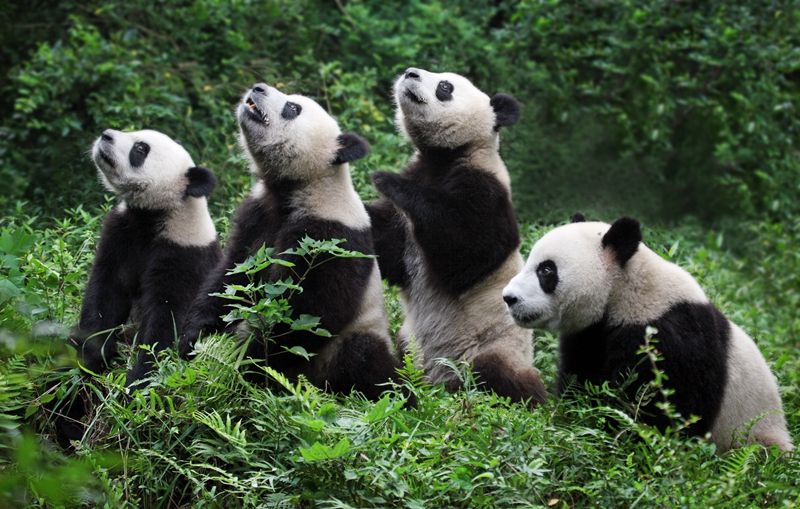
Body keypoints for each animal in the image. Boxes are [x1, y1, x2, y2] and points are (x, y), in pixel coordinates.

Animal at [73, 127, 220, 384]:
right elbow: (106, 294)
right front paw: (92, 357)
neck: (152, 216)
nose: (106, 134)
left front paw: (139, 377)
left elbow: (168, 315)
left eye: (140, 148)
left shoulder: (186, 254)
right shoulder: (120, 234)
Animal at [177, 84, 396, 400]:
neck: (297, 188)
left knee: (365, 357)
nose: (258, 87)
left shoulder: (331, 235)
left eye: (292, 108)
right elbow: (231, 276)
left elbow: (309, 312)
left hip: (358, 335)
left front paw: (242, 360)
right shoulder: (256, 216)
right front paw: (195, 340)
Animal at [368, 68, 544, 404]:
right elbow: (387, 248)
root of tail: (440, 381)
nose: (410, 72)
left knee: (502, 376)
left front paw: (387, 180)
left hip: (493, 348)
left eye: (445, 87)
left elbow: (471, 252)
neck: (445, 157)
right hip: (410, 343)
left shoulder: (487, 188)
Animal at [504, 213, 792, 448]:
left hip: (754, 433)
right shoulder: (588, 334)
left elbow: (670, 410)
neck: (623, 290)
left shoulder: (670, 335)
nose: (508, 298)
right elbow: (580, 378)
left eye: (546, 270)